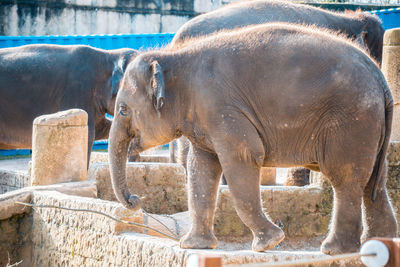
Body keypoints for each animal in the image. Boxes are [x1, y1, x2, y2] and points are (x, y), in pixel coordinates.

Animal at [108, 23, 396, 255]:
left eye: (122, 110)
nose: (135, 201)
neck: (174, 56)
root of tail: (381, 79)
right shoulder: (204, 116)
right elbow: (201, 168)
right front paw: (193, 246)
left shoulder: (220, 106)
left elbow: (242, 158)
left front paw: (269, 243)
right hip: (368, 125)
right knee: (374, 181)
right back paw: (379, 245)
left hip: (351, 120)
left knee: (345, 179)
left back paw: (333, 250)